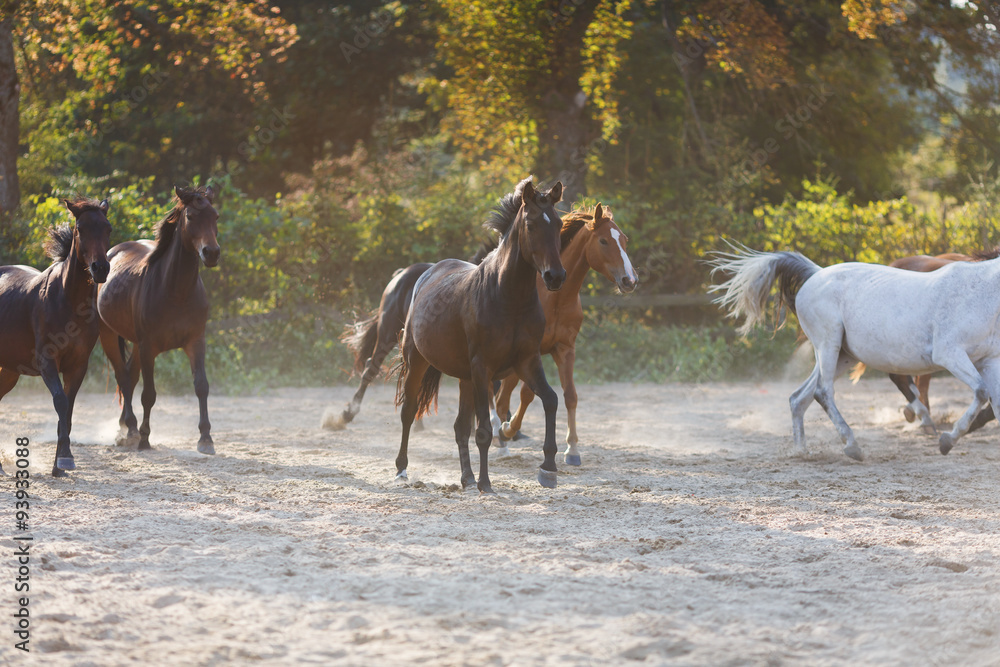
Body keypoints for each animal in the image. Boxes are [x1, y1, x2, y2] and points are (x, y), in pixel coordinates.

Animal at [0, 198, 112, 477]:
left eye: (108, 229)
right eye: (80, 228)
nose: (101, 268)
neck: (68, 301)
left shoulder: (77, 366)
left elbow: (68, 411)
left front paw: (60, 464)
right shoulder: (47, 362)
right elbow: (60, 403)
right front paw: (64, 459)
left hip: (9, 371)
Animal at [97, 185, 220, 454]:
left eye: (216, 216)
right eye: (190, 217)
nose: (212, 253)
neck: (176, 291)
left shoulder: (196, 341)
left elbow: (201, 386)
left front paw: (206, 439)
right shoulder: (149, 347)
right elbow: (149, 395)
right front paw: (145, 439)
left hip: (135, 343)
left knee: (130, 376)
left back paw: (126, 427)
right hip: (109, 336)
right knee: (123, 377)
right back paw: (132, 431)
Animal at [394, 177, 566, 492]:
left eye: (559, 223)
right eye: (531, 224)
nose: (555, 276)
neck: (508, 298)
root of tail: (427, 273)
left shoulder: (527, 361)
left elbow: (550, 400)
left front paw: (548, 468)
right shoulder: (483, 368)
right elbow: (484, 430)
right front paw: (487, 482)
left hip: (465, 378)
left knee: (460, 427)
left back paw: (467, 478)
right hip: (418, 362)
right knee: (409, 411)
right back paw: (402, 469)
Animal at [489, 204, 638, 466]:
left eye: (625, 240)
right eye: (603, 241)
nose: (630, 280)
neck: (555, 298)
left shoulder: (566, 350)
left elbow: (571, 395)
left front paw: (573, 449)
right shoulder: (533, 354)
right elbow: (527, 395)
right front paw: (508, 429)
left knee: (501, 397)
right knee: (500, 398)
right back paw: (501, 439)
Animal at [710, 244, 1000, 461]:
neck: (981, 295)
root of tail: (815, 273)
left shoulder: (989, 362)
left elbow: (993, 402)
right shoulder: (949, 354)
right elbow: (981, 392)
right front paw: (946, 441)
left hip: (843, 355)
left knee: (798, 397)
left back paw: (802, 452)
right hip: (828, 345)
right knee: (822, 392)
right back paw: (852, 445)